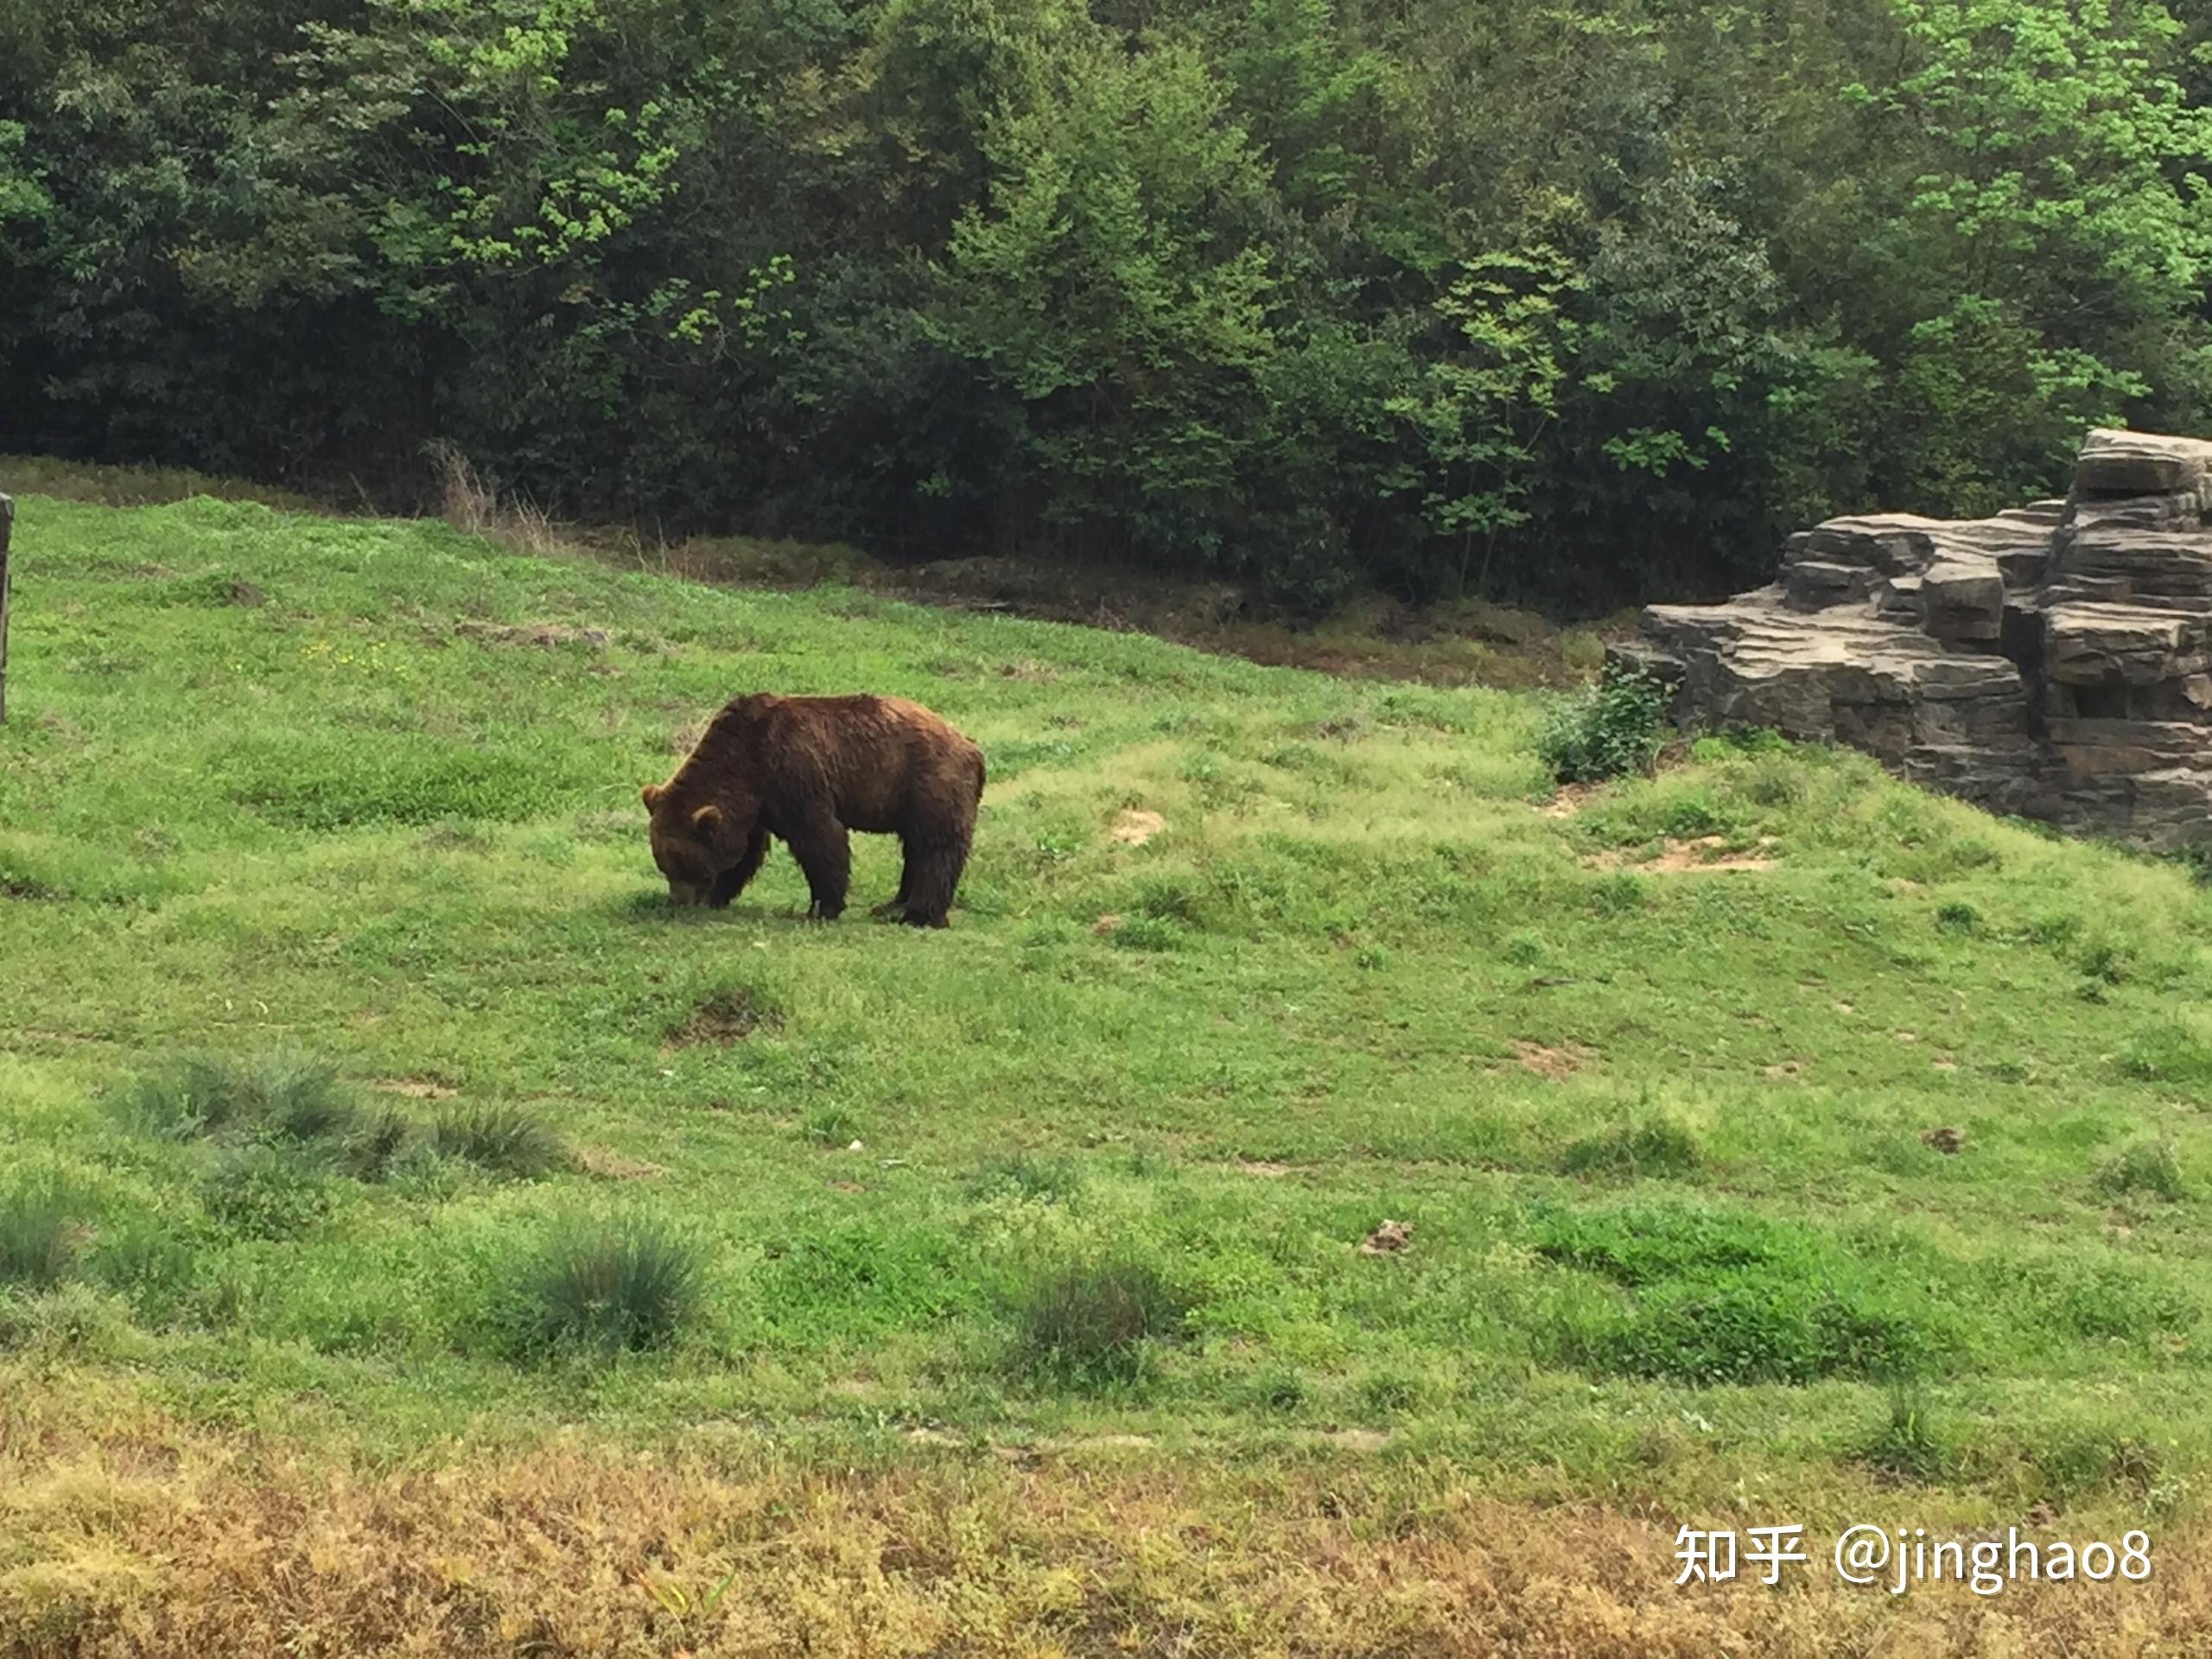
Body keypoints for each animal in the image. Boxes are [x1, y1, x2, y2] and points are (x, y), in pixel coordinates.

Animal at [641, 690, 986, 938]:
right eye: (664, 864)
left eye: (686, 865)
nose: (678, 901)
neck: (744, 764)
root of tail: (972, 747)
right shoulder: (754, 805)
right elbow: (746, 851)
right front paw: (718, 895)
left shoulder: (795, 774)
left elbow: (820, 839)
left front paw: (823, 907)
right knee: (915, 848)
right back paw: (891, 906)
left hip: (928, 781)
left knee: (935, 848)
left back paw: (919, 915)